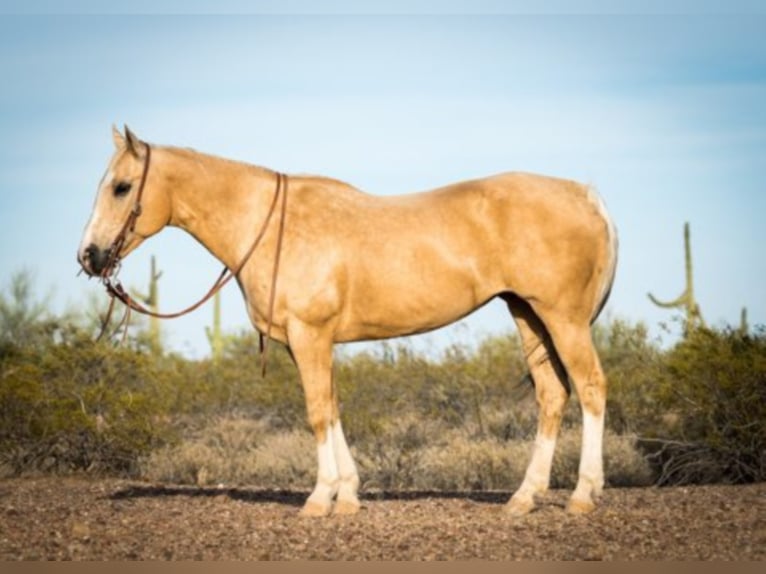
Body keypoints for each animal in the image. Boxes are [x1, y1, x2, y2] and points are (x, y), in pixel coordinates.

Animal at [78, 128, 616, 520]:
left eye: (121, 187)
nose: (89, 255)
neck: (270, 226)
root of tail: (586, 196)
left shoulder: (309, 335)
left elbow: (317, 412)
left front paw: (319, 500)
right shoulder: (307, 343)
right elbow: (333, 409)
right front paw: (349, 496)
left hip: (562, 319)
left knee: (591, 387)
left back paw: (583, 494)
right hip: (527, 314)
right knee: (552, 394)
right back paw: (524, 498)